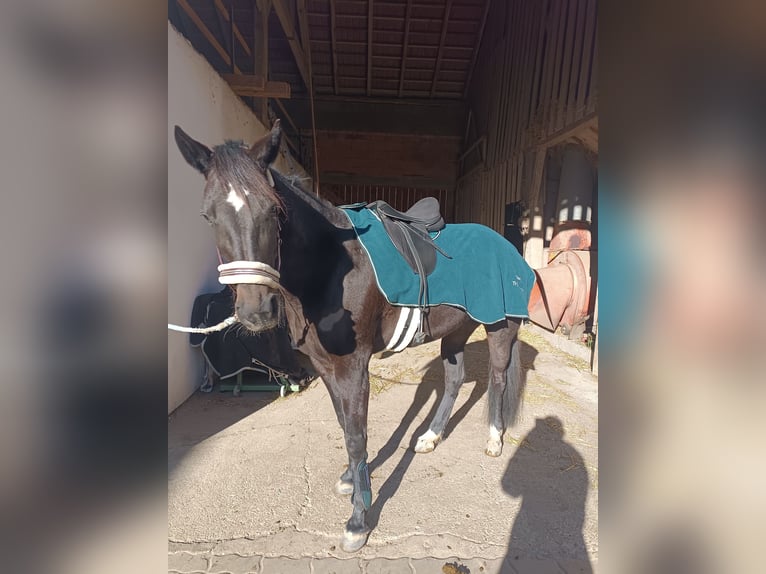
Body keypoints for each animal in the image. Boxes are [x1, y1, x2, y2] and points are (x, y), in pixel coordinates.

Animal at [173, 120, 525, 552]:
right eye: (208, 216)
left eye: (273, 210)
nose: (256, 311)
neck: (330, 267)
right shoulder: (327, 368)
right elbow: (345, 426)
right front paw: (352, 480)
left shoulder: (354, 367)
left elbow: (356, 435)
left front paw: (359, 518)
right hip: (455, 331)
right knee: (456, 380)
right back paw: (430, 437)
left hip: (500, 327)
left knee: (497, 377)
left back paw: (494, 440)